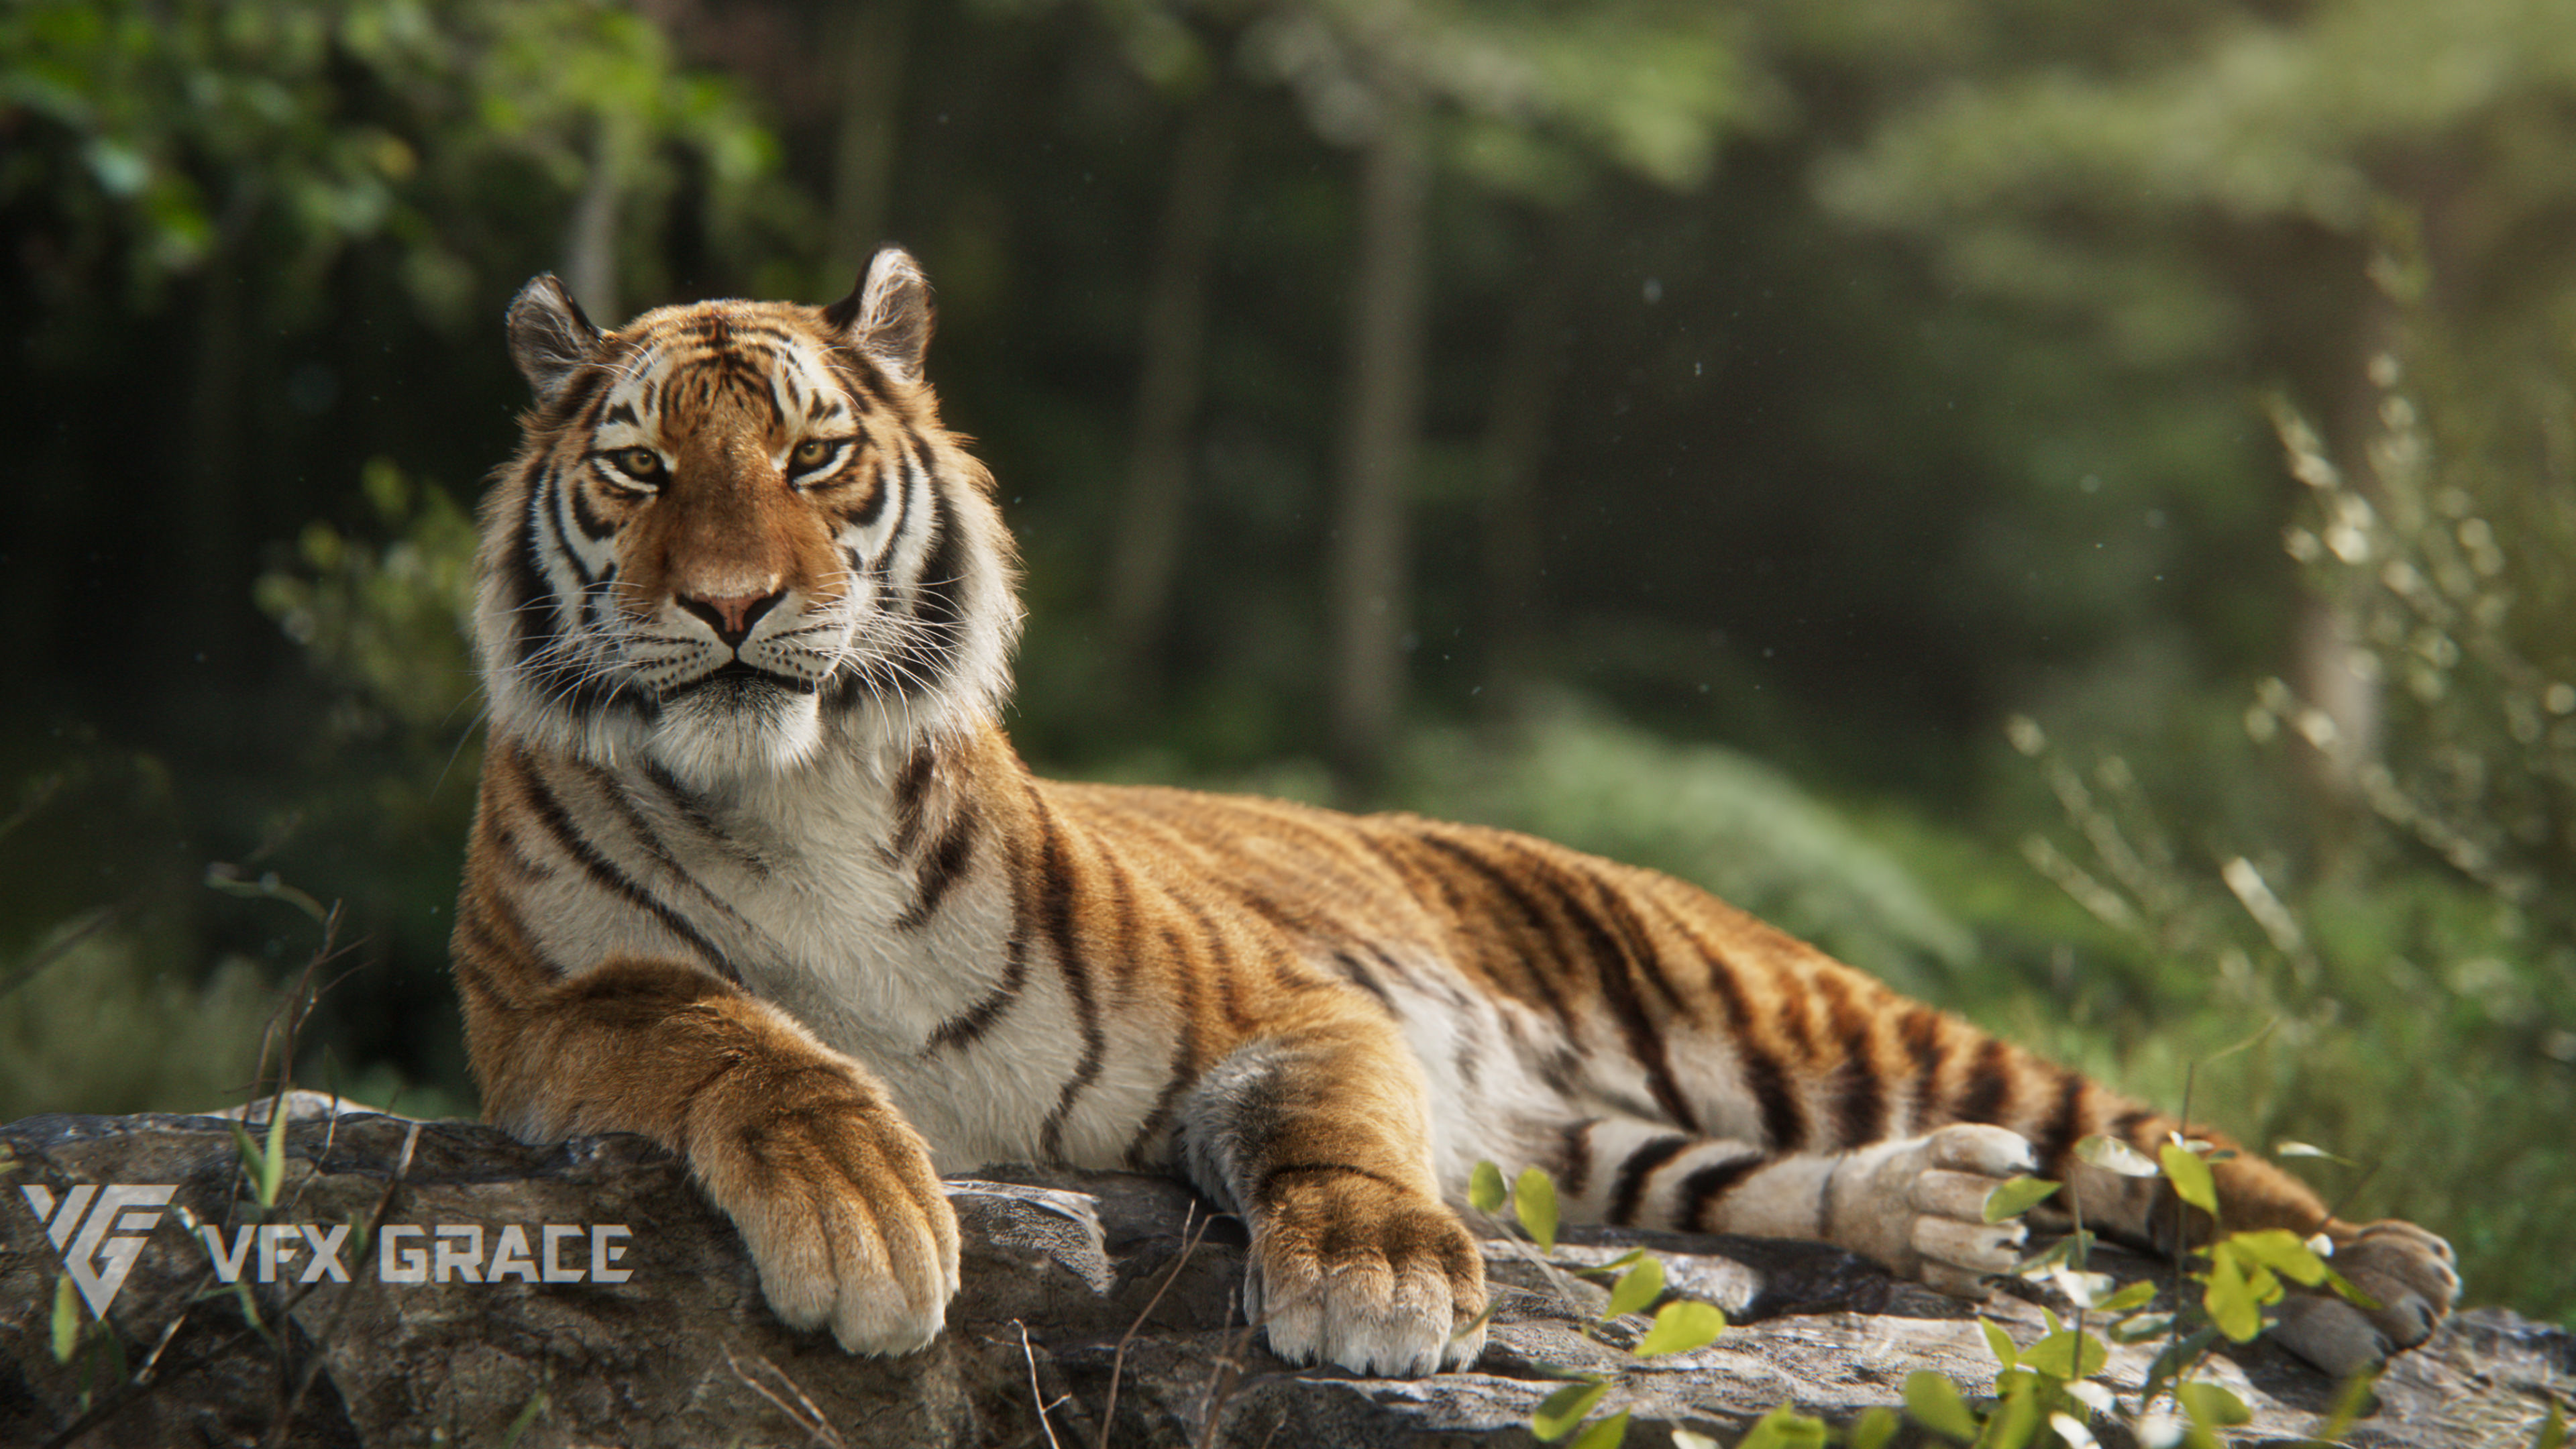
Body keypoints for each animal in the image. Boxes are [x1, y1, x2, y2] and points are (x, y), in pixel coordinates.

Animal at [452, 246, 2458, 1380]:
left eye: (812, 458)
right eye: (640, 467)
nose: (730, 602)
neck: (794, 793)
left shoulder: (1285, 1004)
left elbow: (1331, 1128)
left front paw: (1384, 1275)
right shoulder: (543, 1015)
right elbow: (725, 1027)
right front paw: (864, 1212)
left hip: (1785, 1006)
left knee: (2120, 1120)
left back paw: (2359, 1270)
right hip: (1598, 1144)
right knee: (1765, 1180)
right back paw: (1947, 1211)